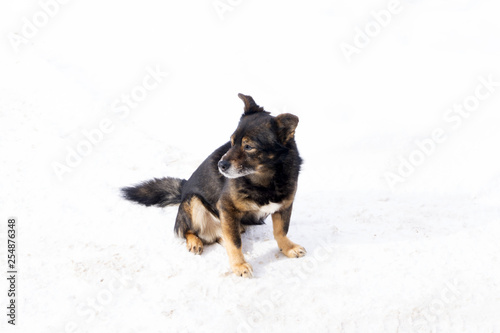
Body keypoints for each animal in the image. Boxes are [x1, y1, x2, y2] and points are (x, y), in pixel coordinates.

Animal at [123, 92, 306, 276]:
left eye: (248, 146)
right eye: (232, 141)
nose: (221, 165)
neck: (264, 179)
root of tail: (183, 189)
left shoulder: (284, 205)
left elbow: (281, 230)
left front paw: (287, 247)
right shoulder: (226, 207)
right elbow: (235, 242)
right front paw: (239, 265)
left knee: (223, 235)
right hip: (193, 201)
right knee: (188, 230)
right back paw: (194, 242)